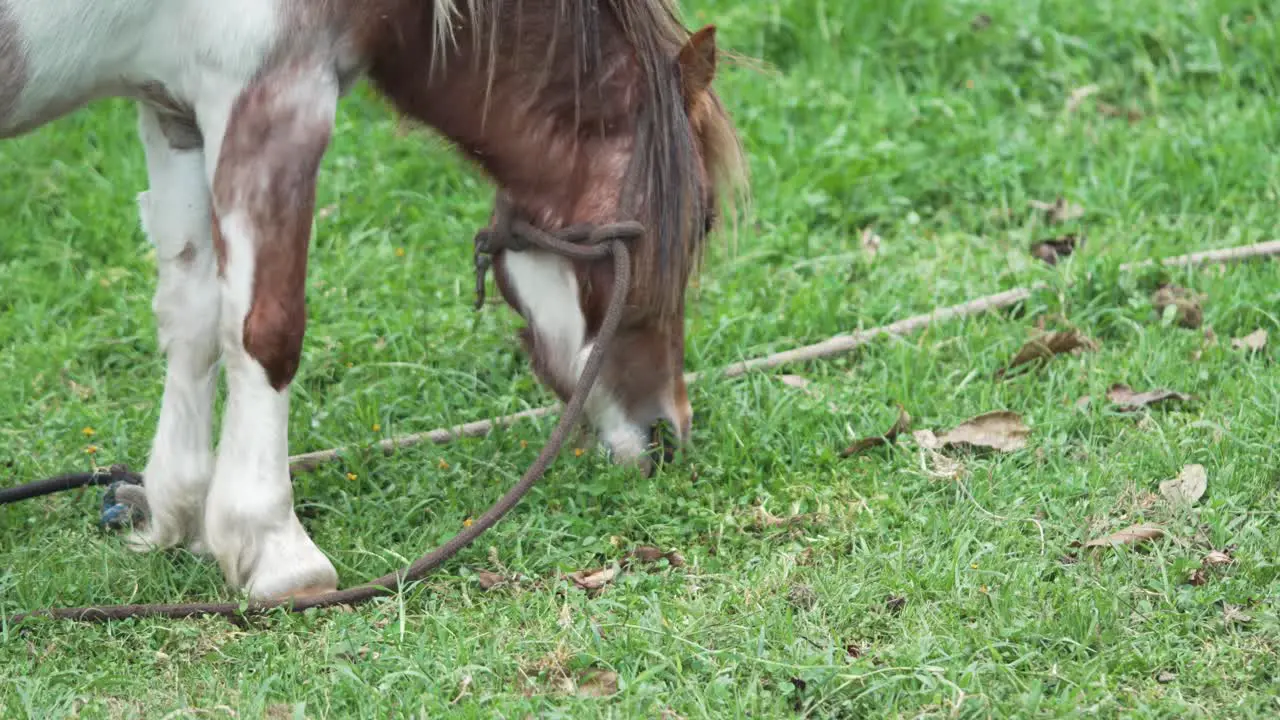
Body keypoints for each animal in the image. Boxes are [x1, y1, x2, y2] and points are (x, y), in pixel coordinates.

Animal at [0, 1, 747, 599]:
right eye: (703, 221)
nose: (667, 435)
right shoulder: (275, 97)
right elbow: (267, 330)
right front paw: (275, 550)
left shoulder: (174, 108)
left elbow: (194, 316)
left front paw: (179, 512)